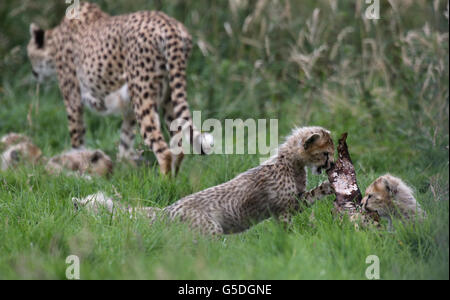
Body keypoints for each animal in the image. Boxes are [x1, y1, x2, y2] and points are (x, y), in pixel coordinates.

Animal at [26, 2, 213, 175]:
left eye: (29, 54)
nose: (33, 73)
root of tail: (169, 24)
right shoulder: (129, 104)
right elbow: (125, 139)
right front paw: (123, 169)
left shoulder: (73, 101)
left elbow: (77, 137)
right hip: (169, 96)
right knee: (178, 148)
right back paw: (174, 182)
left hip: (144, 97)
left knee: (163, 149)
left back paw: (164, 184)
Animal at [74, 126, 336, 234]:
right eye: (326, 153)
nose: (333, 165)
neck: (290, 163)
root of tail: (167, 210)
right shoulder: (284, 210)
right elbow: (290, 230)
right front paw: (299, 239)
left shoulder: (296, 202)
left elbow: (312, 194)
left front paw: (329, 186)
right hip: (211, 231)